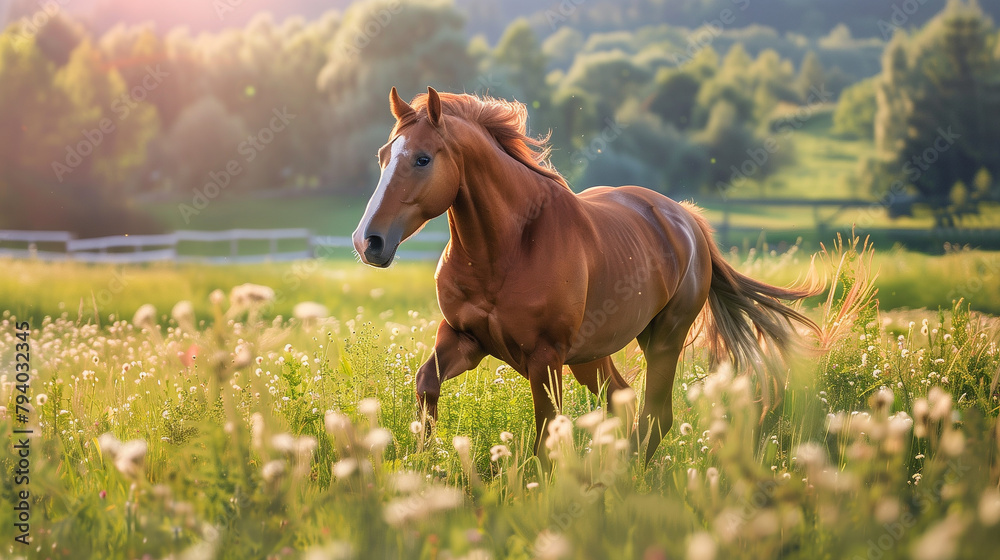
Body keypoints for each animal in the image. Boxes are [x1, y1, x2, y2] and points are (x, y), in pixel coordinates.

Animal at [352, 86, 818, 463]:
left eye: (422, 159)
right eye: (382, 156)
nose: (367, 241)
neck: (508, 248)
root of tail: (686, 219)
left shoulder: (544, 359)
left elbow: (546, 438)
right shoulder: (465, 339)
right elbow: (426, 384)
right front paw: (423, 462)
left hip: (663, 339)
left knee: (655, 417)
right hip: (591, 355)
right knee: (623, 401)